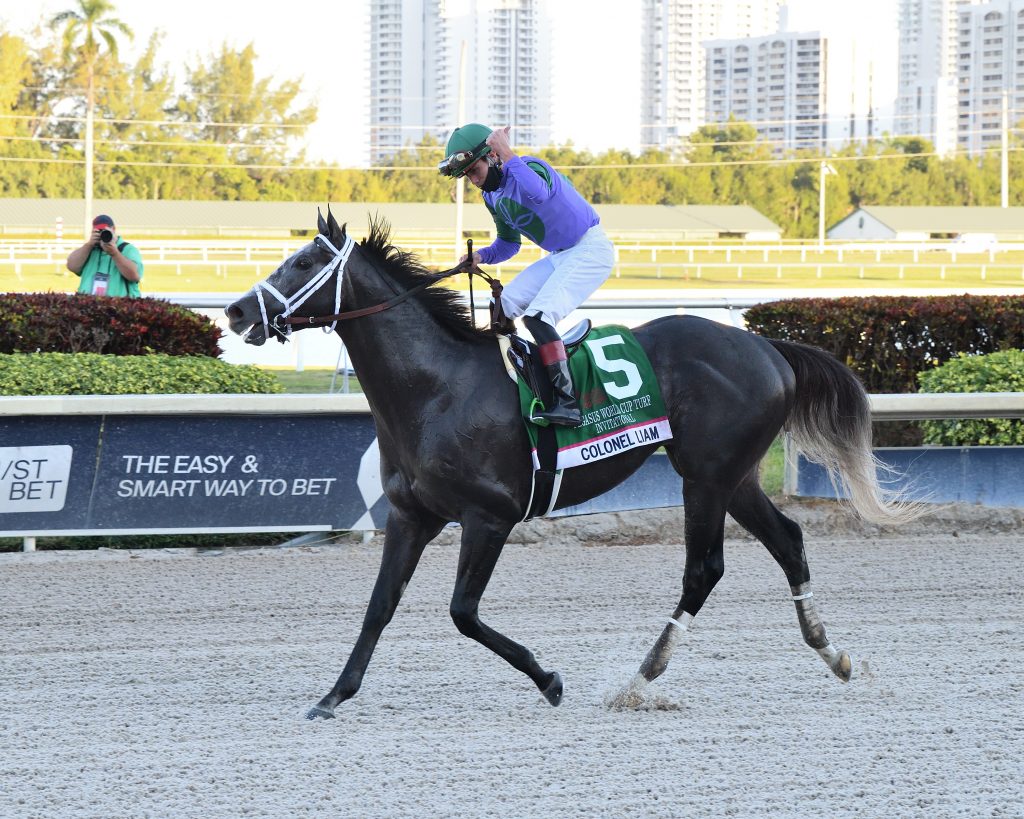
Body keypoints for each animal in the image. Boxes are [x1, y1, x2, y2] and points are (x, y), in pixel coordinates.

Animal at [228, 209, 917, 716]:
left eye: (306, 261)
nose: (236, 311)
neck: (437, 387)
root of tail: (765, 346)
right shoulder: (410, 517)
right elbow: (379, 606)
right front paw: (333, 695)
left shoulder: (490, 516)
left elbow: (462, 612)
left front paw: (549, 679)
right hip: (736, 475)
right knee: (789, 541)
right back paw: (833, 654)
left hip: (706, 476)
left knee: (704, 570)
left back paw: (640, 678)